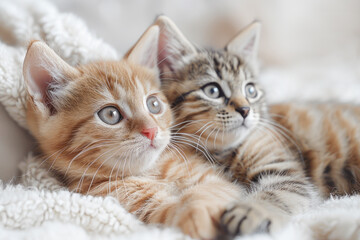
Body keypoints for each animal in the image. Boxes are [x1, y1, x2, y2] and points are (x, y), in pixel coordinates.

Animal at [24, 25, 245, 239]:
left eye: (154, 104)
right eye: (110, 114)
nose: (151, 130)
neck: (149, 172)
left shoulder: (214, 180)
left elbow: (209, 190)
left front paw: (198, 210)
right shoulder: (123, 200)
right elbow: (170, 212)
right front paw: (194, 217)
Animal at [155, 16, 326, 236]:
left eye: (250, 90)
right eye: (212, 91)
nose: (245, 109)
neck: (221, 152)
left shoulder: (285, 173)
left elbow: (278, 192)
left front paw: (251, 211)